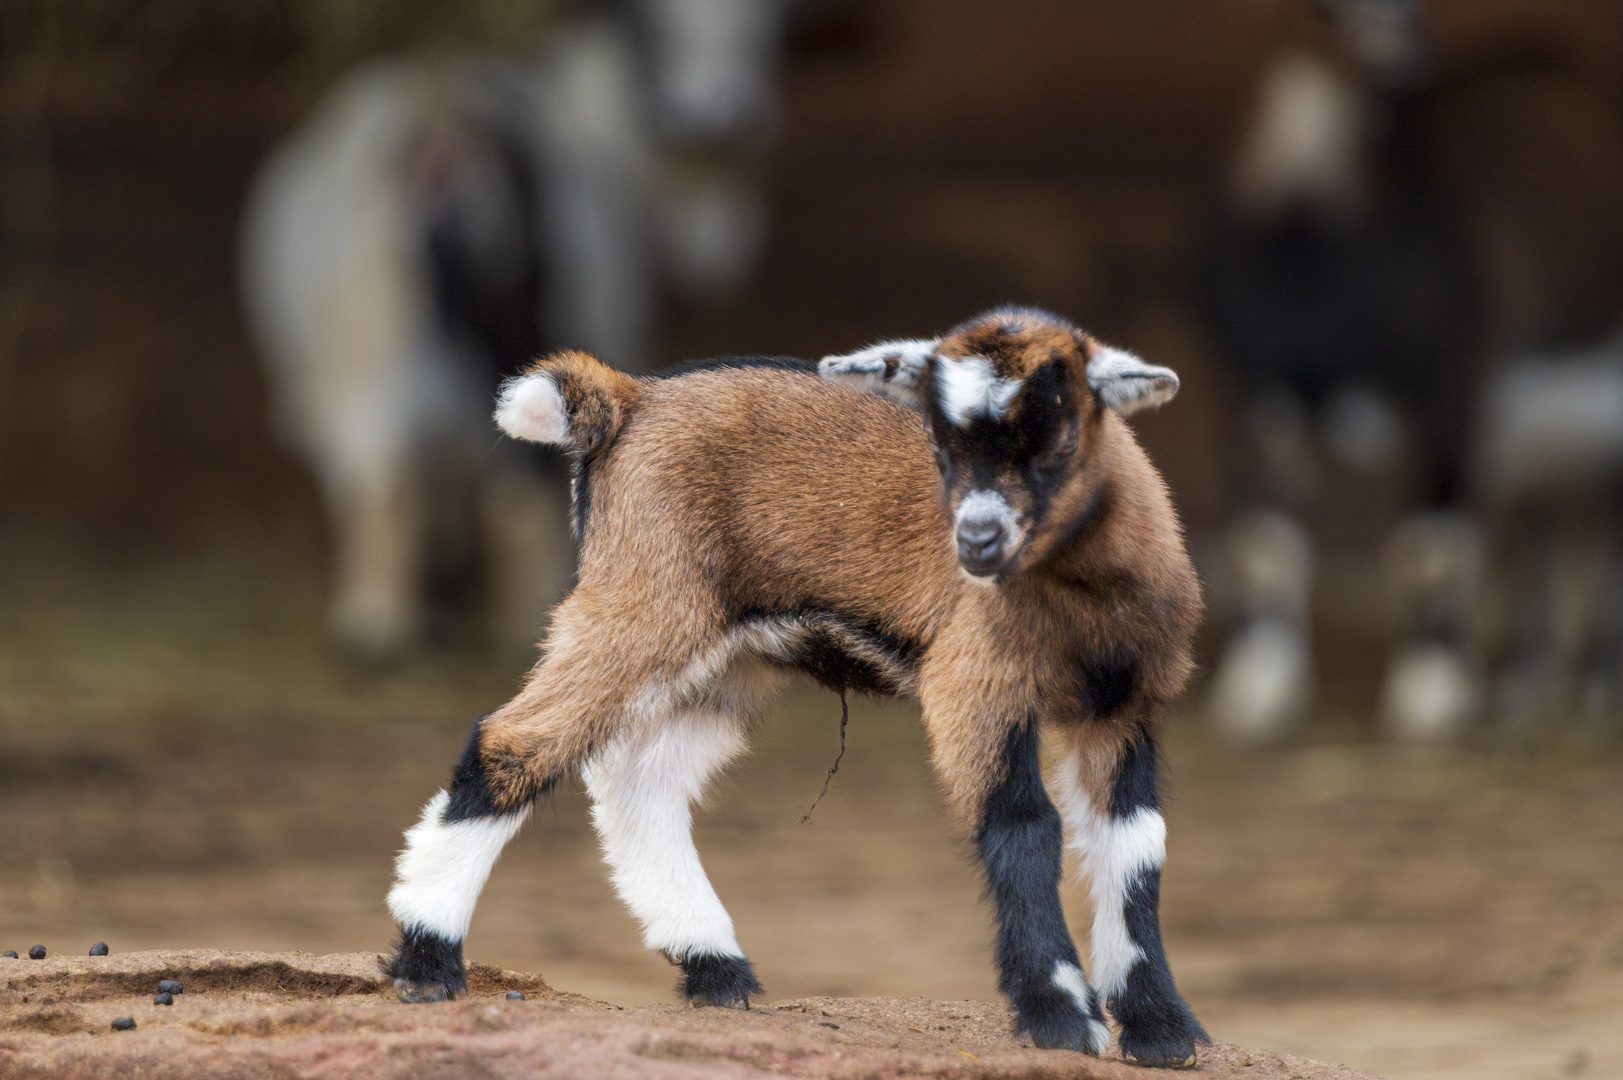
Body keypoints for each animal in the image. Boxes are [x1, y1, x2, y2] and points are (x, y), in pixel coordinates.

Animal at [240, 0, 792, 656]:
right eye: (651, 32)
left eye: (766, 35)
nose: (719, 119)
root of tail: (447, 115)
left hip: (370, 341)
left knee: (393, 475)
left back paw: (384, 631)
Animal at [386, 306, 1214, 1065]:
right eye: (939, 444)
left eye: (1060, 431)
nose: (976, 542)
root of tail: (627, 399)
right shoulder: (975, 686)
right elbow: (1023, 824)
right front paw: (1060, 1016)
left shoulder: (1124, 707)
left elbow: (1136, 848)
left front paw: (1162, 1028)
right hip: (643, 599)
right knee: (514, 743)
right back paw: (428, 957)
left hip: (725, 656)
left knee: (636, 782)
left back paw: (715, 965)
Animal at [1201, 0, 1623, 740]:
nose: (1403, 34)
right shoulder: (1259, 395)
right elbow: (1265, 538)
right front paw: (1258, 691)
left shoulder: (1451, 388)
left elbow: (1432, 548)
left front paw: (1431, 694)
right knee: (1549, 518)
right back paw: (1533, 683)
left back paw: (1594, 687)